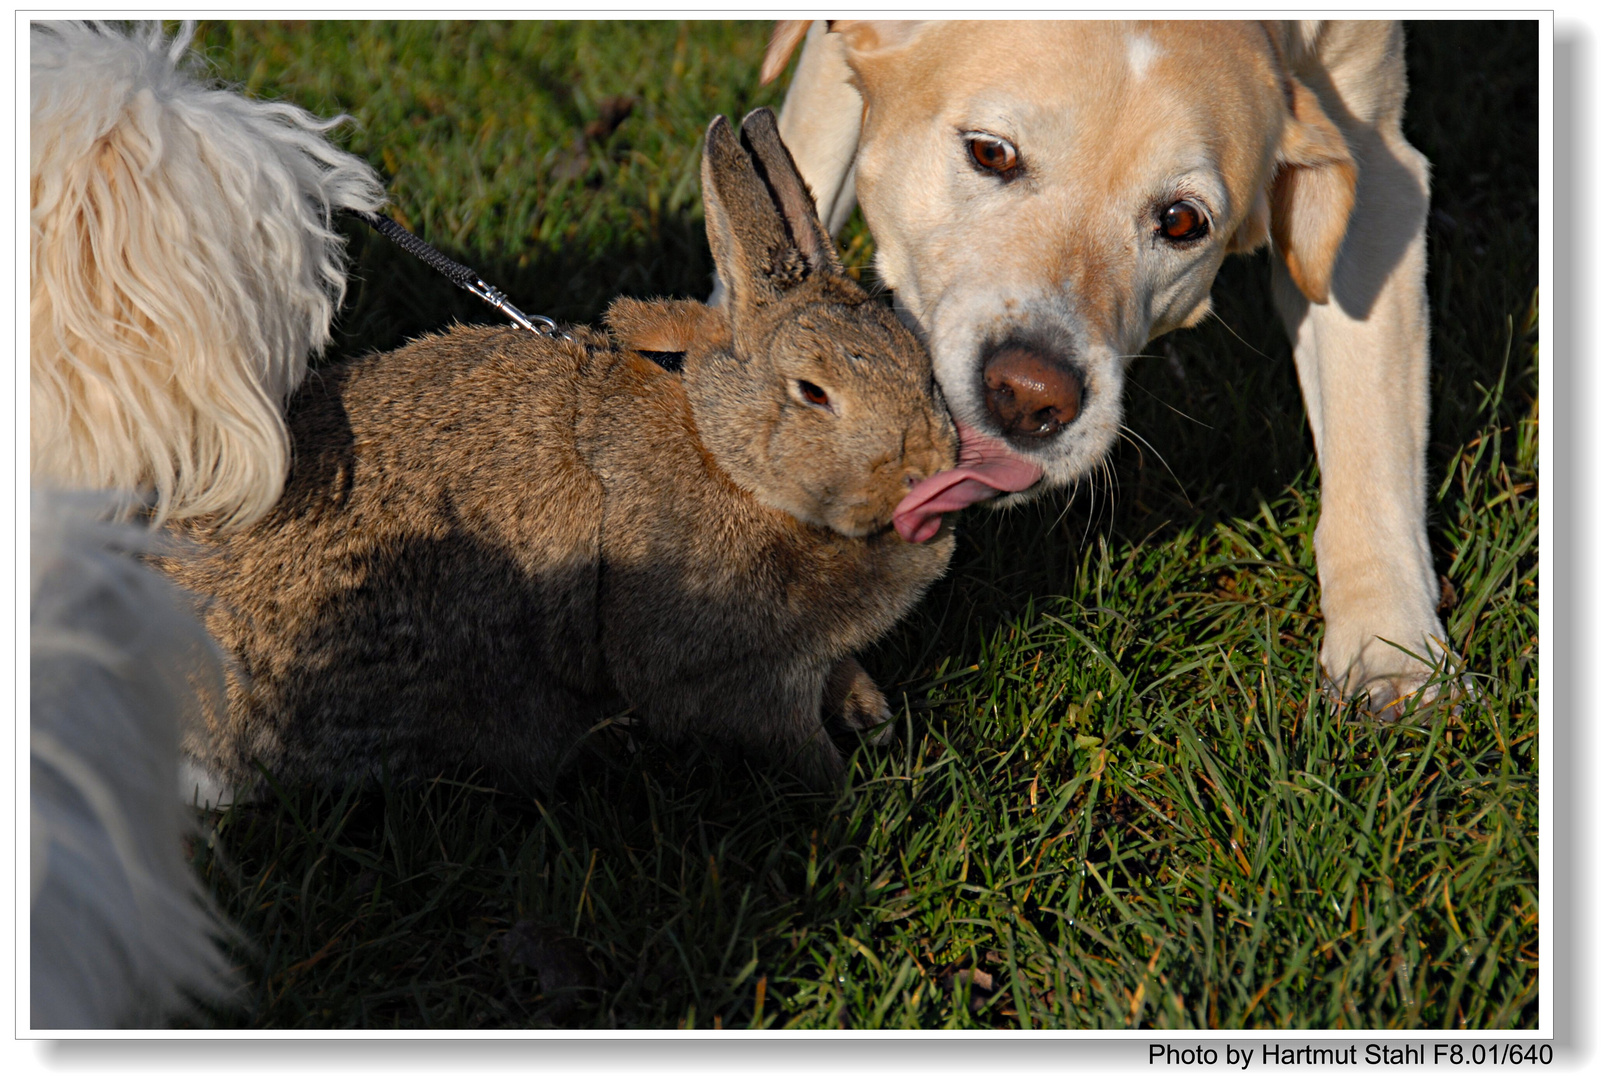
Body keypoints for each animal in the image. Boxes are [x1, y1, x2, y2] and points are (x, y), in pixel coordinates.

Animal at [163, 109, 955, 797]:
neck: (722, 453)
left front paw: (873, 717)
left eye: (923, 365)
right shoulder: (736, 674)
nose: (926, 474)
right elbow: (790, 738)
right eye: (813, 392)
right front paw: (845, 794)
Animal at [761, 21, 1459, 710]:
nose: (1029, 396)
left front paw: (1389, 651)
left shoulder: (1377, 167)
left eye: (1181, 220)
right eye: (990, 154)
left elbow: (1371, 431)